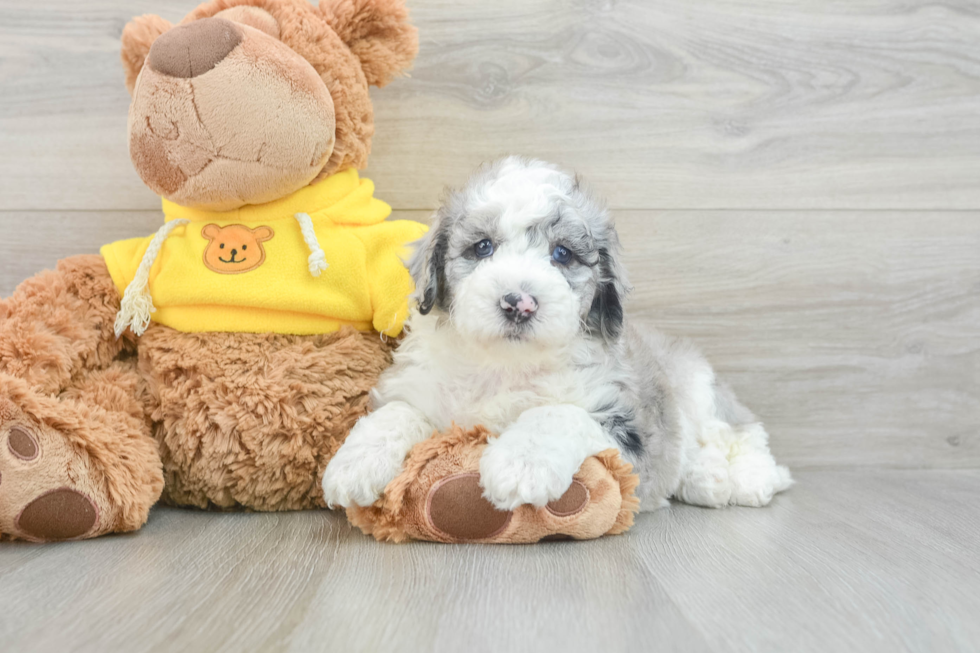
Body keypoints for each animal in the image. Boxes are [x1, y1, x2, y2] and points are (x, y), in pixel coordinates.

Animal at [326, 157, 792, 516]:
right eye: (482, 247)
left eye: (562, 254)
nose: (519, 302)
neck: (504, 364)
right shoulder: (419, 389)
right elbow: (395, 413)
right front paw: (353, 464)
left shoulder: (626, 430)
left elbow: (556, 414)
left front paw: (519, 466)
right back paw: (706, 478)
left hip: (697, 387)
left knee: (737, 433)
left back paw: (744, 478)